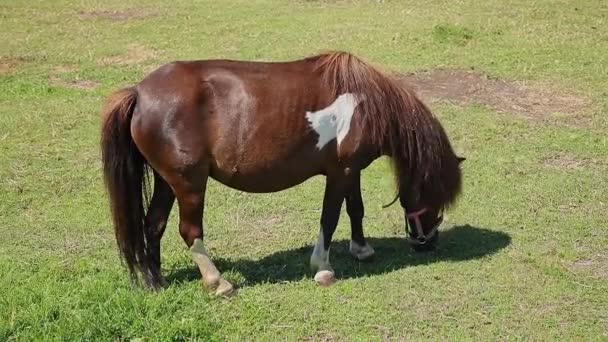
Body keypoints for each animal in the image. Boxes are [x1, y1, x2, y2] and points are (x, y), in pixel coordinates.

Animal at [100, 49, 464, 296]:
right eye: (434, 191)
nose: (427, 243)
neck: (365, 105)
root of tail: (140, 93)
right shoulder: (339, 172)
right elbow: (330, 217)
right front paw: (323, 268)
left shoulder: (351, 171)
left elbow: (355, 209)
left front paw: (362, 250)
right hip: (189, 184)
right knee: (189, 231)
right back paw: (218, 283)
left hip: (166, 182)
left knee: (153, 225)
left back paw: (155, 282)